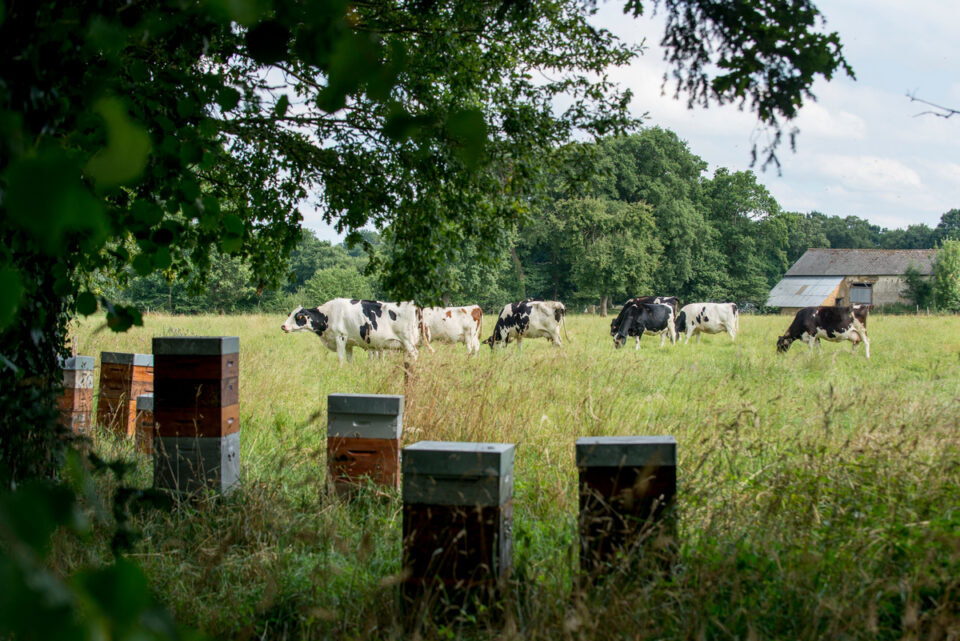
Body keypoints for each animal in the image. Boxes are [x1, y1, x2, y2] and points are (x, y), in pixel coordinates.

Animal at [284, 298, 422, 362]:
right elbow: (350, 359)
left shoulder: (340, 337)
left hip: (409, 342)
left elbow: (340, 358)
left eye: (298, 316)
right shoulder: (349, 344)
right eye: (289, 314)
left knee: (415, 355)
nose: (283, 326)